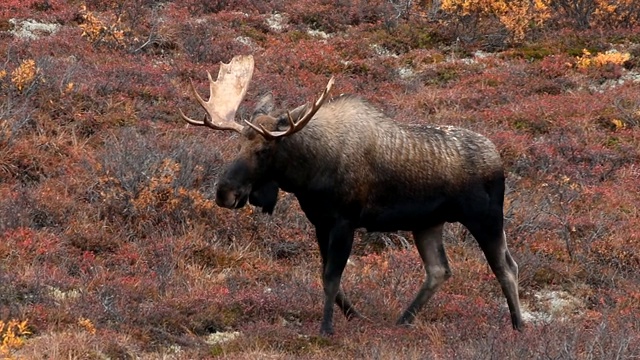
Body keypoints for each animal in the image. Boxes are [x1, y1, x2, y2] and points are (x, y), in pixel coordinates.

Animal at [178, 54, 524, 334]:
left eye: (264, 149)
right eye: (238, 144)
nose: (225, 192)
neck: (308, 172)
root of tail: (498, 159)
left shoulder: (345, 222)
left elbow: (332, 277)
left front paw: (327, 328)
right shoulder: (320, 222)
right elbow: (327, 275)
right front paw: (356, 317)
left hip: (486, 218)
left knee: (506, 266)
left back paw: (519, 325)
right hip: (427, 223)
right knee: (439, 270)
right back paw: (403, 320)